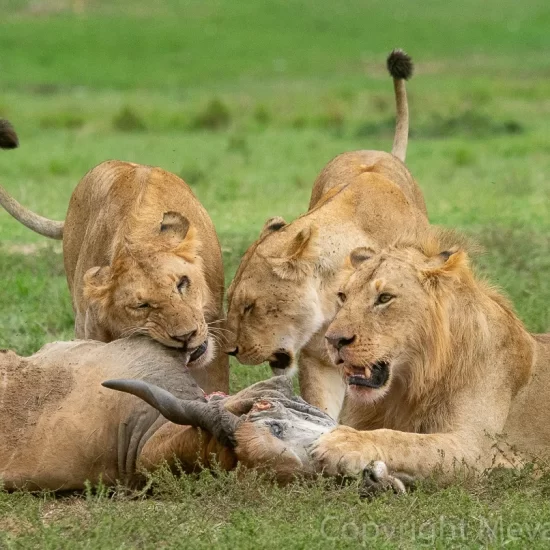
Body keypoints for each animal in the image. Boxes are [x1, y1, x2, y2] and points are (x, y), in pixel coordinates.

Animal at [310, 233, 550, 488]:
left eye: (384, 298)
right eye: (342, 296)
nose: (333, 340)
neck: (409, 384)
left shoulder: (473, 450)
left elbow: (405, 441)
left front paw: (344, 442)